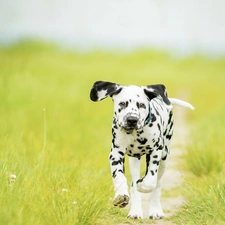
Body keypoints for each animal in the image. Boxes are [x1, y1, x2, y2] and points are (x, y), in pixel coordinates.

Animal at [89, 81, 193, 220]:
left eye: (142, 105)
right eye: (122, 103)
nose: (132, 120)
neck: (135, 133)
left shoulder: (155, 152)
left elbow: (150, 181)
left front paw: (142, 185)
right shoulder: (116, 153)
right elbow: (119, 177)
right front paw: (121, 195)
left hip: (164, 158)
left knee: (157, 183)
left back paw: (155, 210)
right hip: (134, 160)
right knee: (133, 185)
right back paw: (135, 211)